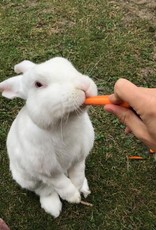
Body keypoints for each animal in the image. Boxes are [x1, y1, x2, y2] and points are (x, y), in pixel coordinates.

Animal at [0, 57, 97, 217]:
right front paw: (74, 197)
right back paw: (53, 208)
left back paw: (84, 187)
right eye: (38, 84)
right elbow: (61, 184)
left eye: (66, 63)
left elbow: (78, 172)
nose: (84, 85)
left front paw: (78, 186)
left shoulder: (79, 158)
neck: (66, 125)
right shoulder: (48, 172)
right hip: (29, 179)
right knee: (44, 190)